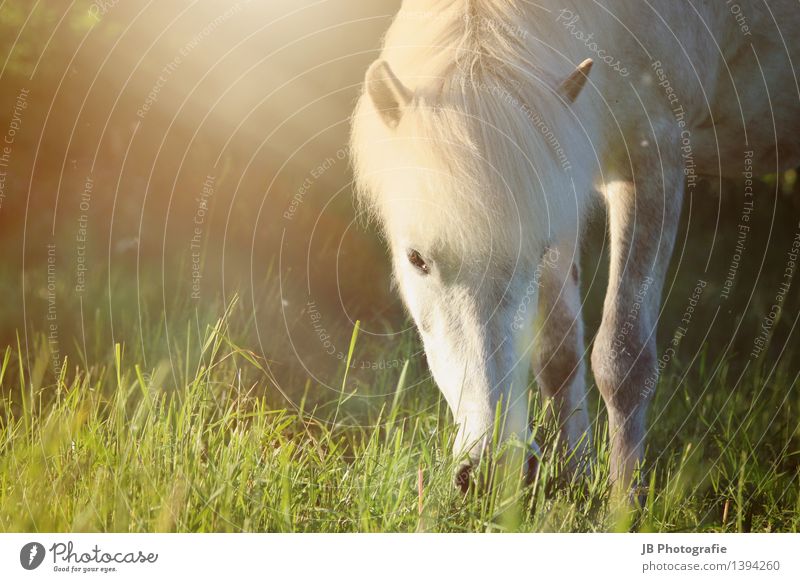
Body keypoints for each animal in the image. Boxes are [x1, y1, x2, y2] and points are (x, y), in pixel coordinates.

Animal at [350, 0, 800, 496]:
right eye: (416, 259)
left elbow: (622, 360)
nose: (493, 472)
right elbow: (558, 355)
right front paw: (573, 482)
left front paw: (624, 502)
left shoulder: (652, 161)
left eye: (536, 255)